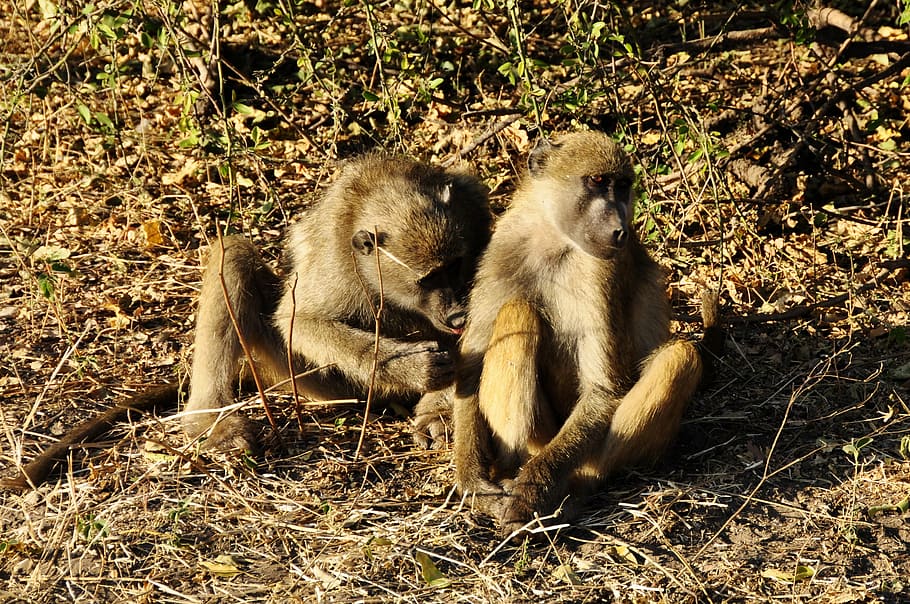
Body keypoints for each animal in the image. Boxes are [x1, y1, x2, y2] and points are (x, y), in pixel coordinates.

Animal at [2, 154, 491, 490]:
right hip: (312, 380)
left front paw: (440, 399)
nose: (453, 312)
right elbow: (298, 320)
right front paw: (412, 366)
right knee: (231, 253)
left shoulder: (475, 205)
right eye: (430, 277)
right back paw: (211, 422)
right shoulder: (340, 264)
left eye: (455, 266)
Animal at [450, 131, 722, 534]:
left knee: (680, 356)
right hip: (542, 433)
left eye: (622, 186)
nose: (619, 229)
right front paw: (475, 483)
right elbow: (471, 367)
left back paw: (575, 487)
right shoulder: (501, 250)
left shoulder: (600, 272)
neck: (553, 242)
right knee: (517, 311)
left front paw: (533, 489)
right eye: (597, 181)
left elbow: (603, 388)